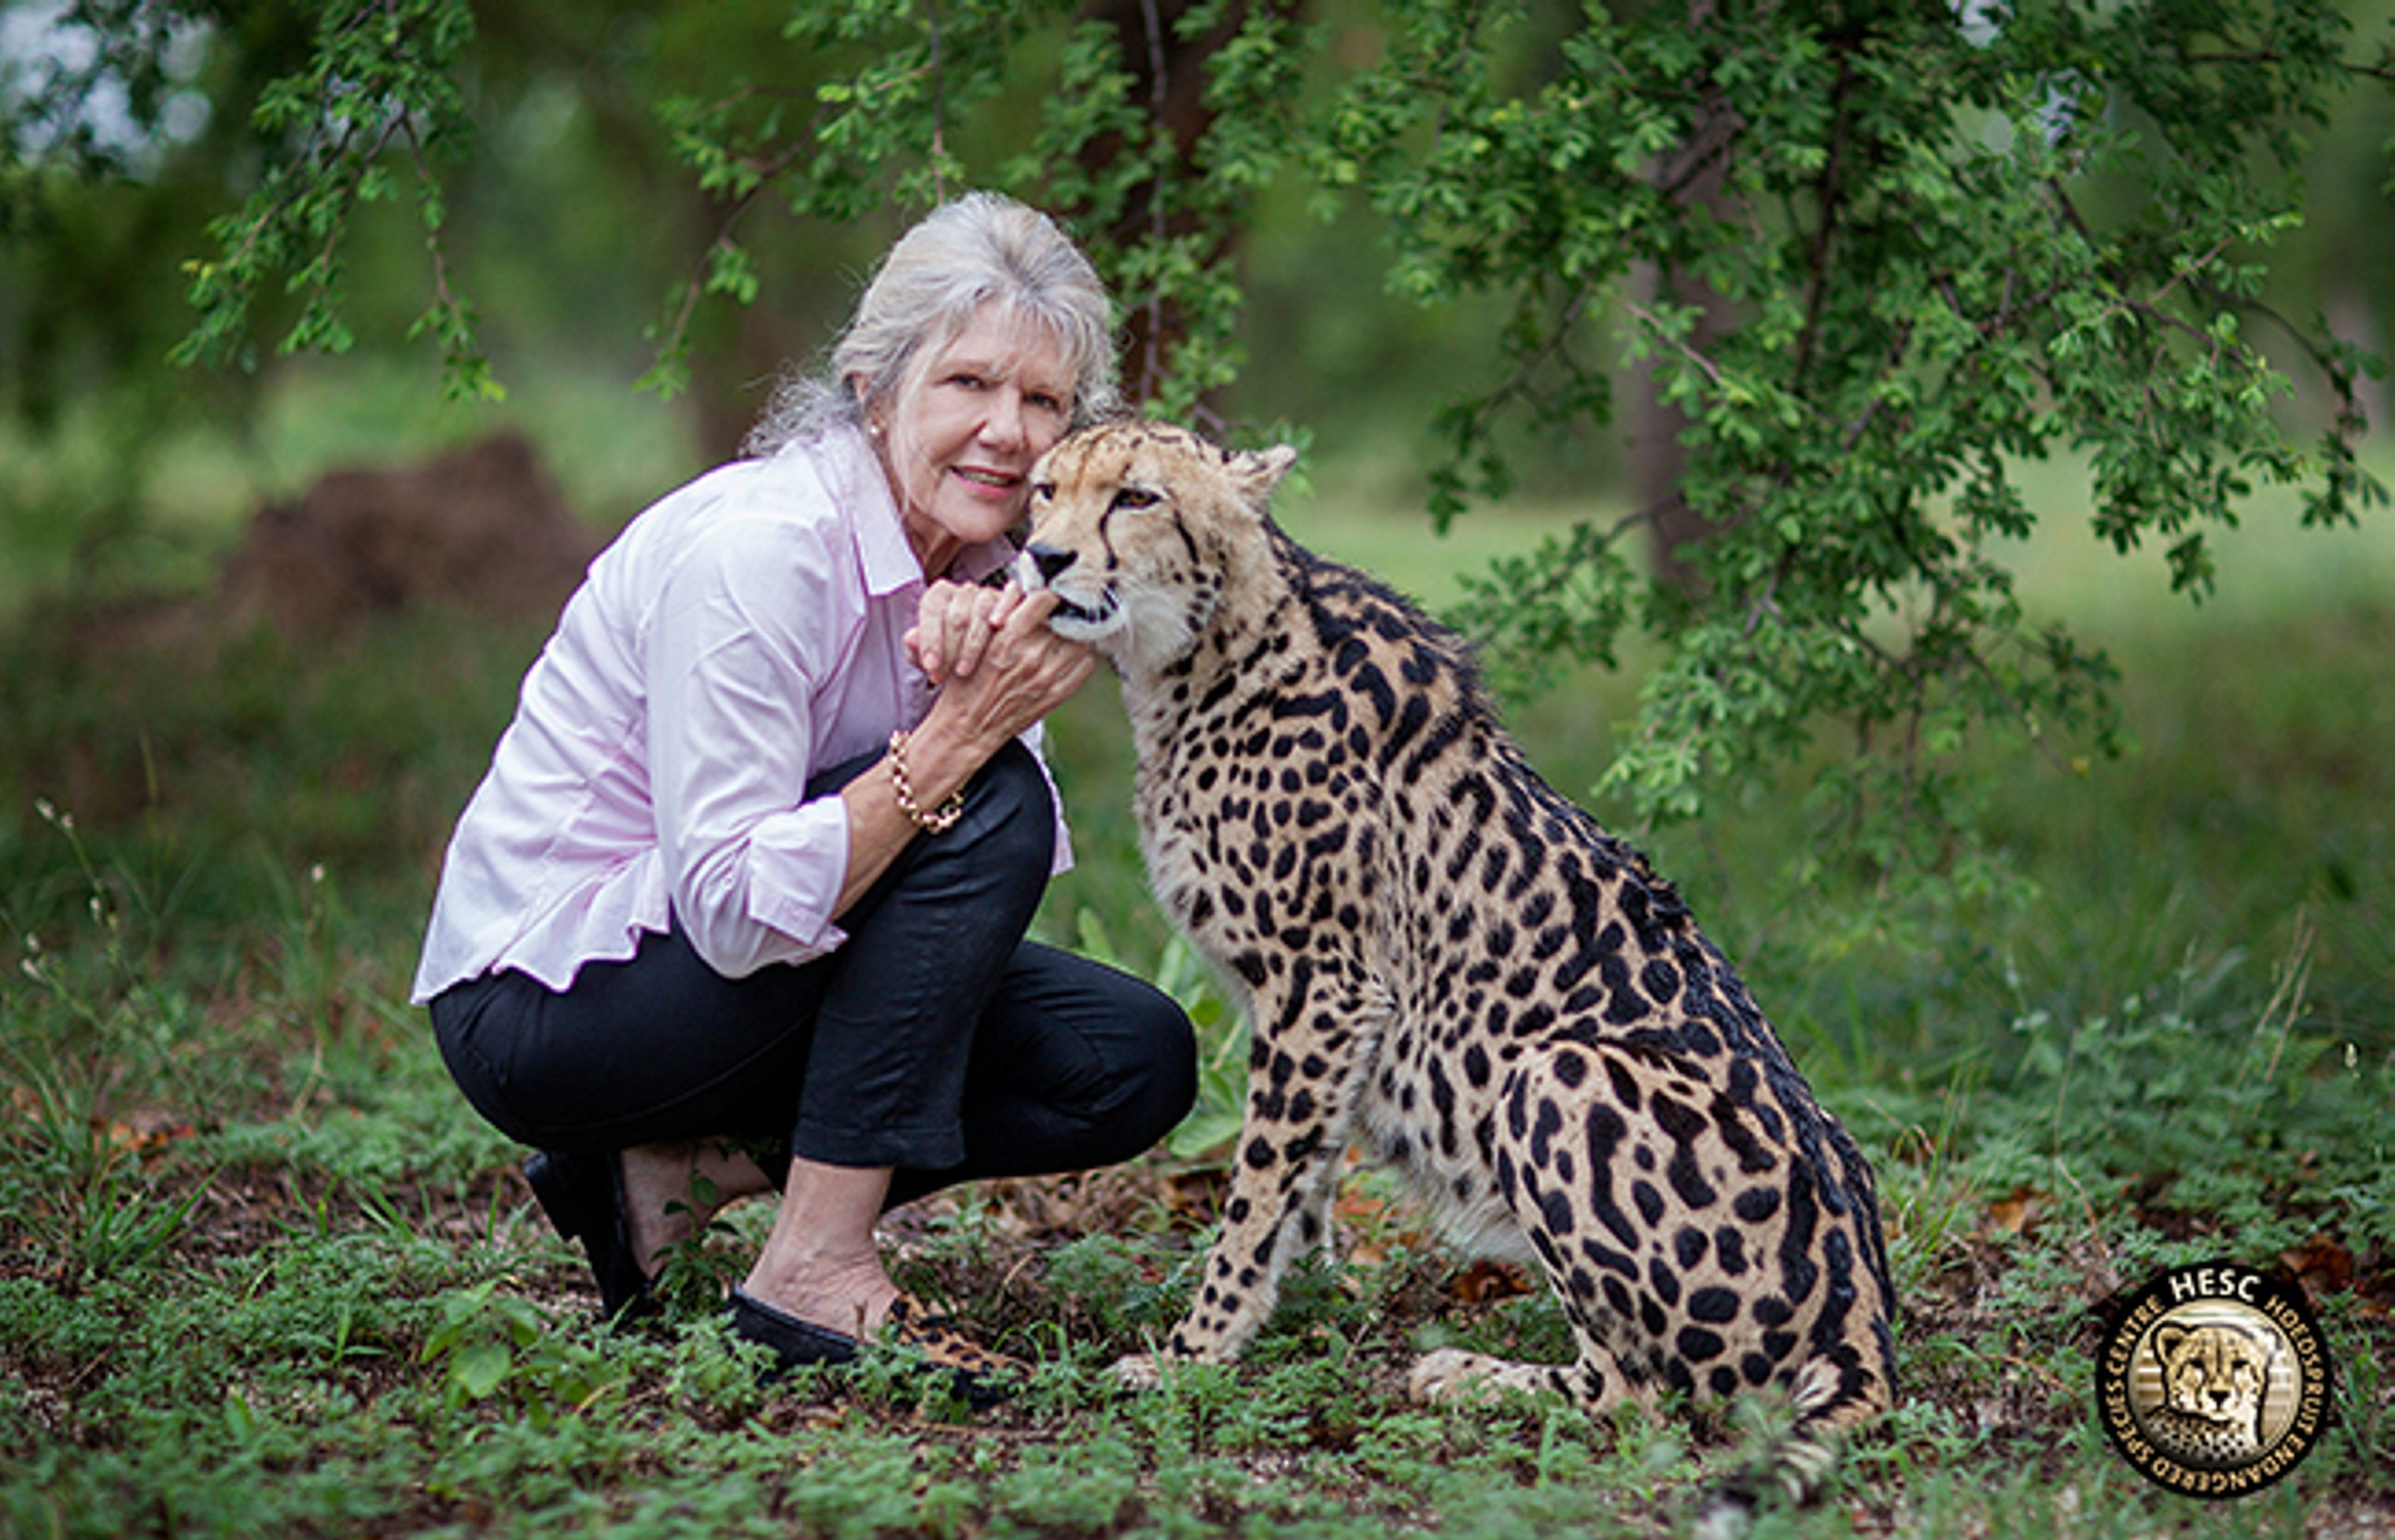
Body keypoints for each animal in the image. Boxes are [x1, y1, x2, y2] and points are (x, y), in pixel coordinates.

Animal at [1016, 420, 1896, 1528]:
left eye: (1135, 497)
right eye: (1044, 489)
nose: (1042, 557)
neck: (1214, 642)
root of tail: (1867, 1314)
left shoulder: (1321, 981)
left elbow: (1255, 1188)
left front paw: (1194, 1353)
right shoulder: (1322, 1005)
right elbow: (1305, 1171)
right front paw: (1313, 1296)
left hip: (1557, 1073)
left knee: (1633, 1394)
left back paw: (1466, 1374)